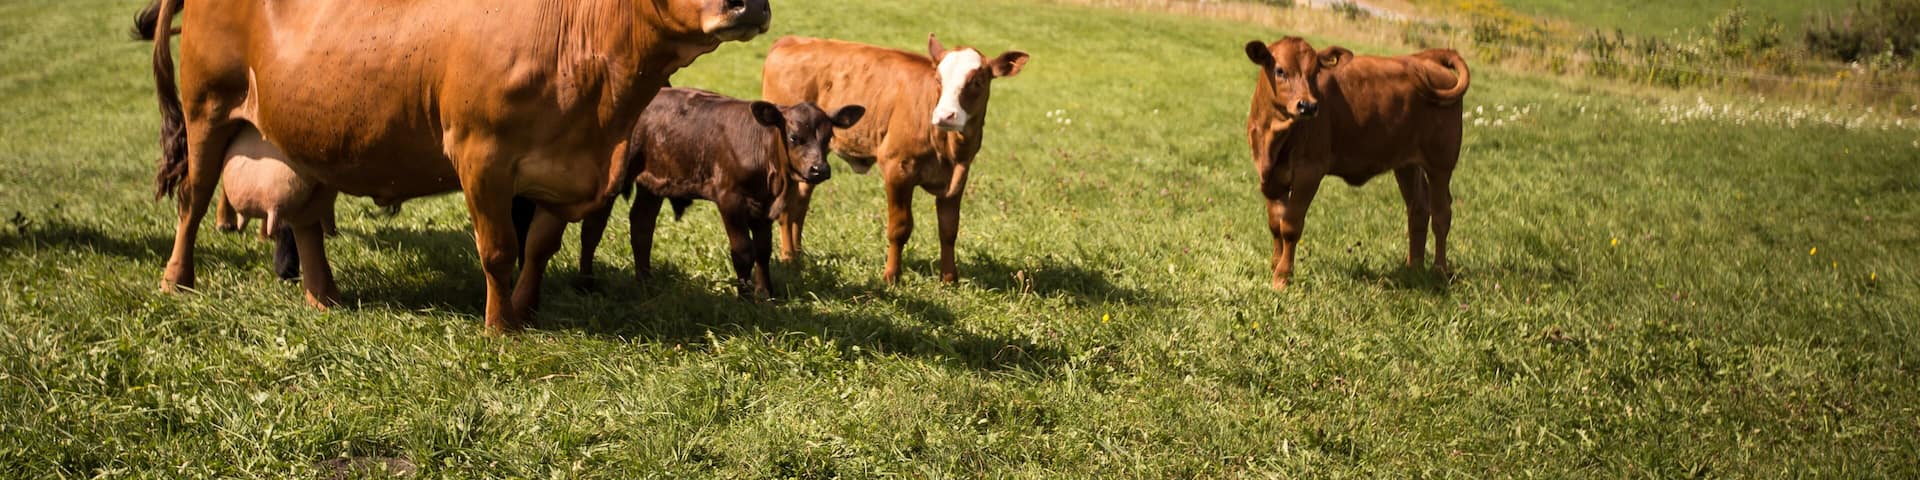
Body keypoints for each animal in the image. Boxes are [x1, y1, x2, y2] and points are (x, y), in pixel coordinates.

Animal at [135, 0, 771, 333]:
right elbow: (499, 251)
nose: (749, 3)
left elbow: (540, 247)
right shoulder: (482, 155)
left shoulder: (561, 173)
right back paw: (177, 280)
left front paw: (525, 309)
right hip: (206, 111)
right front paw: (501, 328)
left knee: (307, 218)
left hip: (306, 135)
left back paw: (324, 297)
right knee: (193, 201)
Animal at [574, 88, 864, 298]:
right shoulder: (730, 200)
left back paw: (646, 281)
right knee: (593, 229)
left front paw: (766, 294)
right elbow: (743, 250)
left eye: (828, 137)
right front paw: (744, 296)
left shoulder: (764, 206)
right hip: (614, 178)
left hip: (653, 181)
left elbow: (763, 250)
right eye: (794, 137)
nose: (819, 169)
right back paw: (586, 284)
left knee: (642, 226)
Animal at [761, 34, 1029, 285]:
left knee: (800, 202)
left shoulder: (958, 177)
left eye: (977, 81)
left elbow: (949, 229)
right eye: (938, 80)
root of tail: (791, 41)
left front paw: (949, 278)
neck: (949, 149)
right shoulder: (897, 168)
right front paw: (891, 276)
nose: (944, 116)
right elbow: (899, 228)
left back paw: (797, 255)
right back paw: (788, 257)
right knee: (787, 207)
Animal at [1243, 37, 1470, 289]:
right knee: (1418, 209)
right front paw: (1274, 266)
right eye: (1280, 70)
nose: (1308, 106)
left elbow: (1290, 226)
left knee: (1442, 214)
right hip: (1407, 164)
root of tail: (1424, 60)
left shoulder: (1309, 172)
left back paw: (1439, 271)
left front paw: (1282, 277)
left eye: (1315, 72)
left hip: (1441, 162)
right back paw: (1413, 269)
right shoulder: (1270, 177)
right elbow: (1275, 224)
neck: (1273, 137)